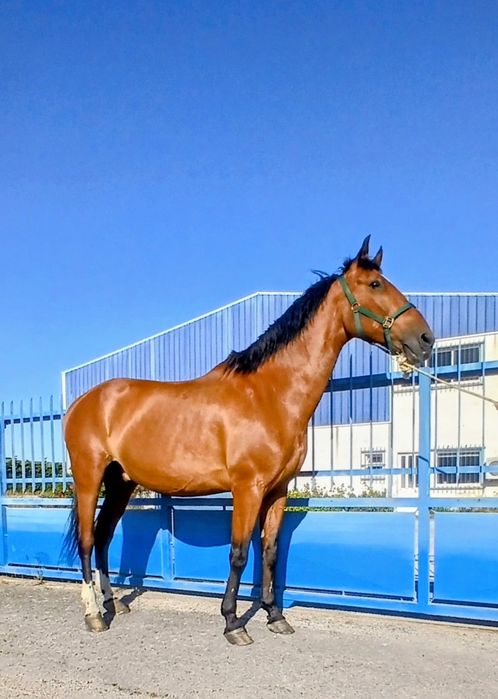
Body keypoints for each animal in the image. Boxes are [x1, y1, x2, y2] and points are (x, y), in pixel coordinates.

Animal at [63, 236, 434, 645]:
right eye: (375, 285)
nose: (425, 339)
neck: (269, 394)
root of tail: (82, 402)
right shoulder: (248, 488)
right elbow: (239, 554)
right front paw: (232, 622)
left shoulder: (278, 491)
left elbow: (270, 552)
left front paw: (275, 616)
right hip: (89, 478)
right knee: (86, 539)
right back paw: (94, 614)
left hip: (121, 483)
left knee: (102, 537)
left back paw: (112, 603)